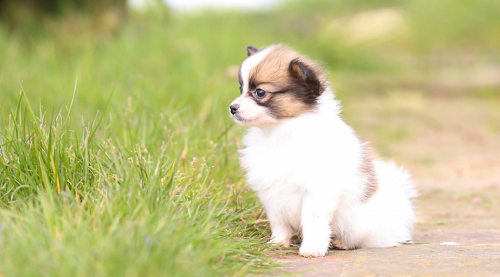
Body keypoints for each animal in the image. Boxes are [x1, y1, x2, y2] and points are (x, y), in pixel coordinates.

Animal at [230, 44, 418, 256]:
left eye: (260, 92)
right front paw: (278, 242)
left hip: (359, 225)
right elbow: (278, 221)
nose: (232, 108)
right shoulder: (271, 191)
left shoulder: (319, 189)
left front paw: (312, 248)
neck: (280, 132)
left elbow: (314, 221)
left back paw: (342, 242)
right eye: (241, 89)